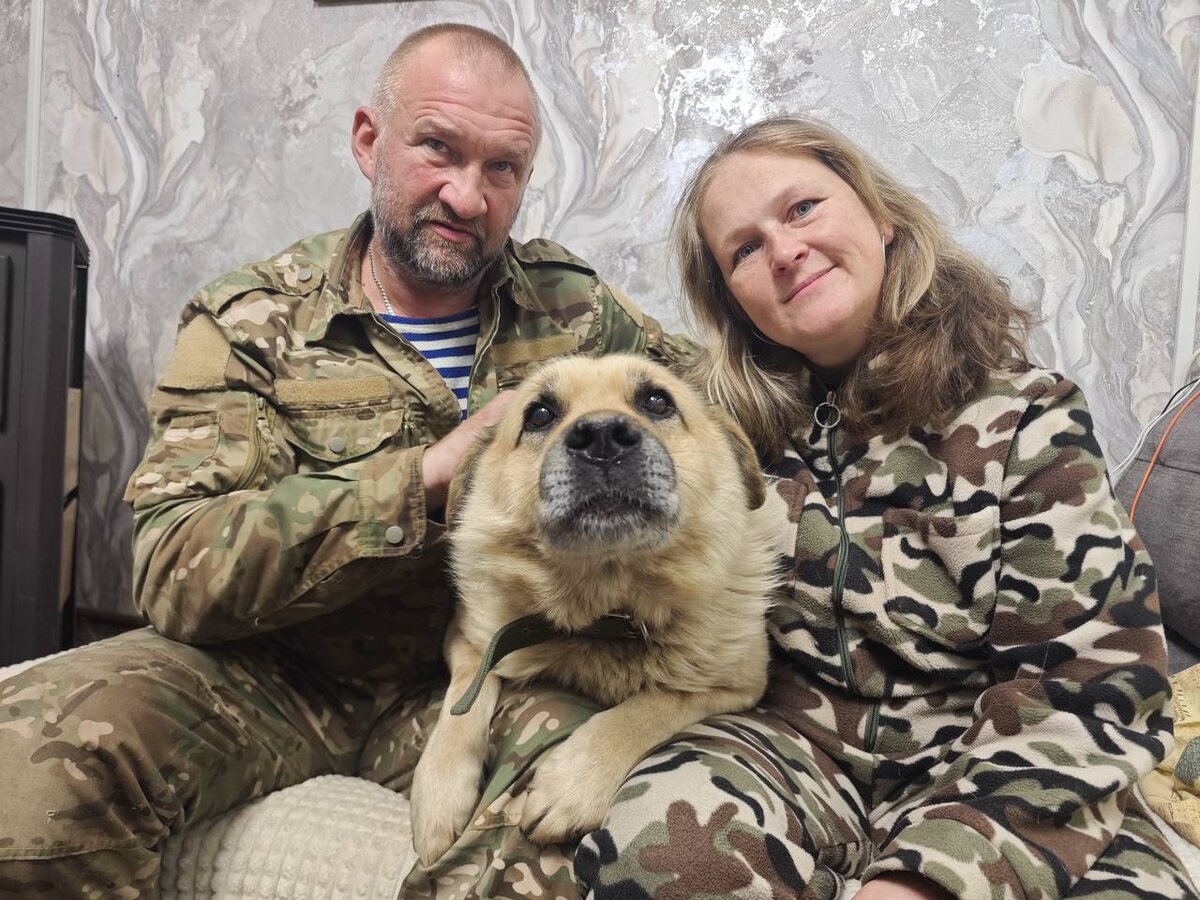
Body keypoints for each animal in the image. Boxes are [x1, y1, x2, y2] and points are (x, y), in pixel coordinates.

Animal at [409, 354, 782, 865]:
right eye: (539, 414)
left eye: (656, 400)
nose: (603, 437)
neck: (605, 615)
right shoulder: (468, 639)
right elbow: (462, 701)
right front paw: (439, 794)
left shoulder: (739, 683)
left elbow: (650, 705)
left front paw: (574, 781)